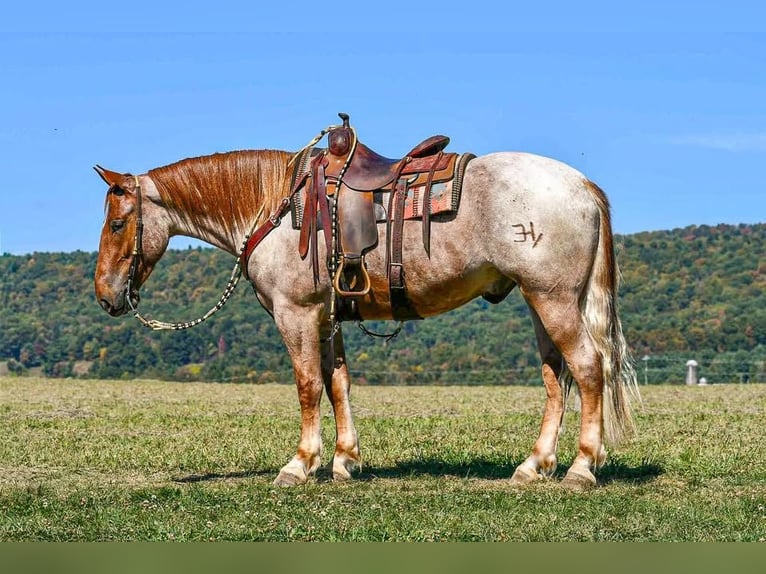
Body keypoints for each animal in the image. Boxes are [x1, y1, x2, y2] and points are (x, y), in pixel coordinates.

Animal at [93, 129, 639, 488]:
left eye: (118, 224)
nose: (105, 295)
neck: (276, 207)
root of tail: (582, 186)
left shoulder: (296, 314)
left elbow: (308, 385)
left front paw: (300, 464)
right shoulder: (327, 317)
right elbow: (338, 383)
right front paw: (344, 460)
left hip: (553, 299)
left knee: (587, 368)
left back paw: (581, 469)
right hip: (541, 300)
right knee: (556, 377)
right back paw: (533, 466)